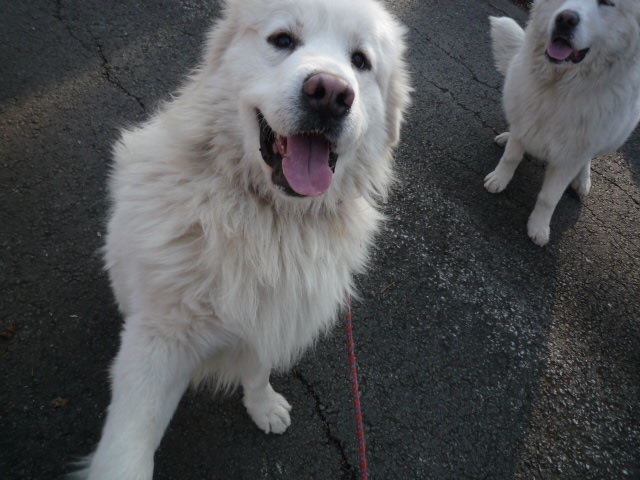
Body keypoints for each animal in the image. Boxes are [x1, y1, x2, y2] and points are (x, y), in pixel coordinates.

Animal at [73, 0, 409, 478]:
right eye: (283, 40)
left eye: (360, 61)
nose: (330, 93)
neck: (271, 218)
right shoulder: (158, 342)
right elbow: (129, 446)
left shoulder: (272, 313)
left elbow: (258, 368)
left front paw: (263, 405)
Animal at [485, 0, 640, 246]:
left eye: (607, 3)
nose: (565, 19)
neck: (560, 85)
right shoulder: (525, 116)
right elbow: (511, 157)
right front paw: (499, 179)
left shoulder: (570, 156)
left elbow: (549, 197)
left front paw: (539, 227)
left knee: (588, 159)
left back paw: (583, 179)